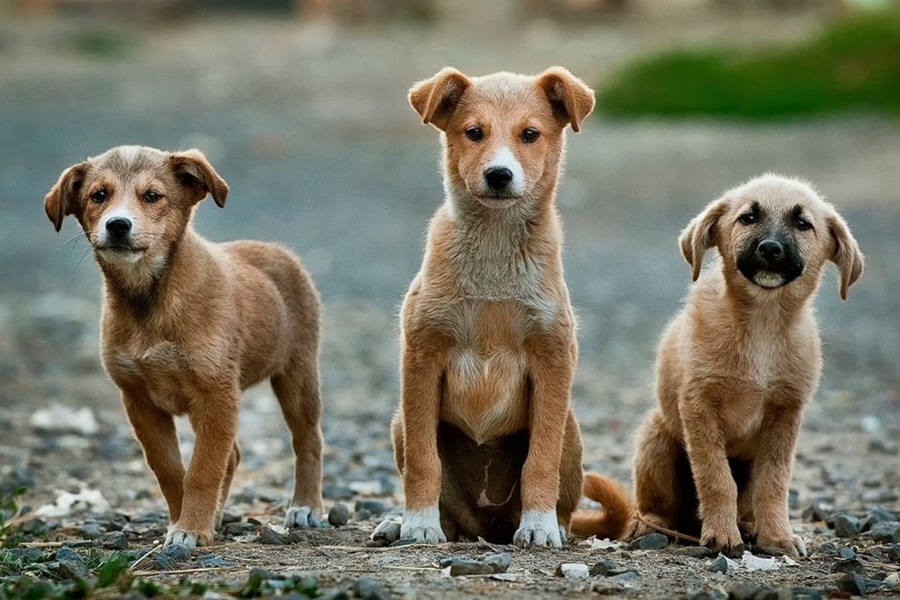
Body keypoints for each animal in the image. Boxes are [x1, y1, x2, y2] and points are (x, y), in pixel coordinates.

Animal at [44, 146, 326, 548]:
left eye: (152, 196)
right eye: (98, 195)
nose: (118, 225)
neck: (150, 299)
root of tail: (276, 250)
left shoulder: (216, 394)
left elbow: (203, 469)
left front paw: (191, 528)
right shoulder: (139, 400)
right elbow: (170, 469)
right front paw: (185, 521)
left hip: (297, 374)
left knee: (308, 440)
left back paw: (306, 506)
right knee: (233, 455)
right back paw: (219, 514)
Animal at [376, 67, 628, 548]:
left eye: (530, 134)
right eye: (474, 132)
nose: (498, 175)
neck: (494, 251)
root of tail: (488, 524)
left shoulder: (553, 359)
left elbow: (540, 461)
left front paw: (540, 526)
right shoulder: (421, 356)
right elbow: (422, 459)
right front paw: (417, 522)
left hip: (570, 428)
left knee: (561, 493)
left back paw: (552, 525)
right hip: (401, 421)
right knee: (447, 505)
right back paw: (406, 523)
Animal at [624, 173, 864, 556]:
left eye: (803, 223)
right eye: (748, 218)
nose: (770, 248)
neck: (763, 323)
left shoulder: (785, 413)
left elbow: (774, 482)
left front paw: (777, 536)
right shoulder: (699, 405)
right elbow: (716, 477)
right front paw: (722, 535)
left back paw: (750, 526)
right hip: (655, 437)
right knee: (656, 505)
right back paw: (650, 525)